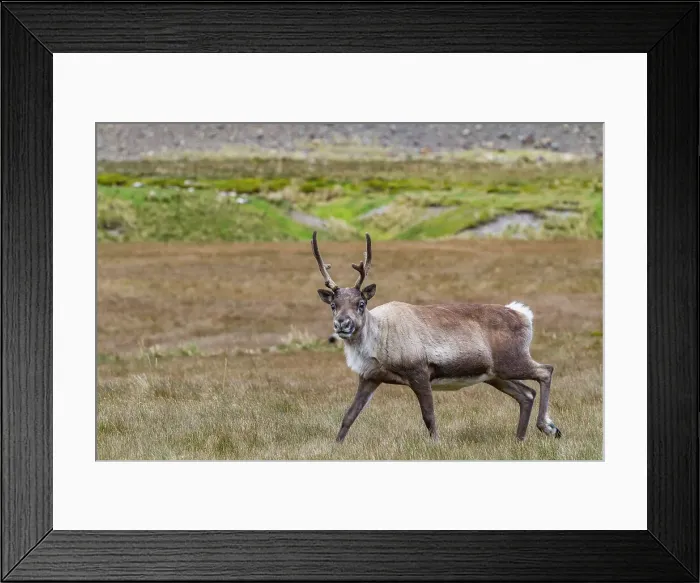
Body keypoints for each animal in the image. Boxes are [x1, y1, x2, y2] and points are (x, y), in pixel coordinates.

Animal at [311, 231, 561, 443]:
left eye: (361, 303)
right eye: (333, 305)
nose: (342, 323)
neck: (377, 338)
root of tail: (523, 314)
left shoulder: (419, 371)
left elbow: (429, 415)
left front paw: (436, 444)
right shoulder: (370, 377)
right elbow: (349, 415)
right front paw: (336, 445)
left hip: (511, 361)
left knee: (545, 371)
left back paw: (548, 426)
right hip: (495, 375)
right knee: (526, 394)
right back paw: (519, 439)